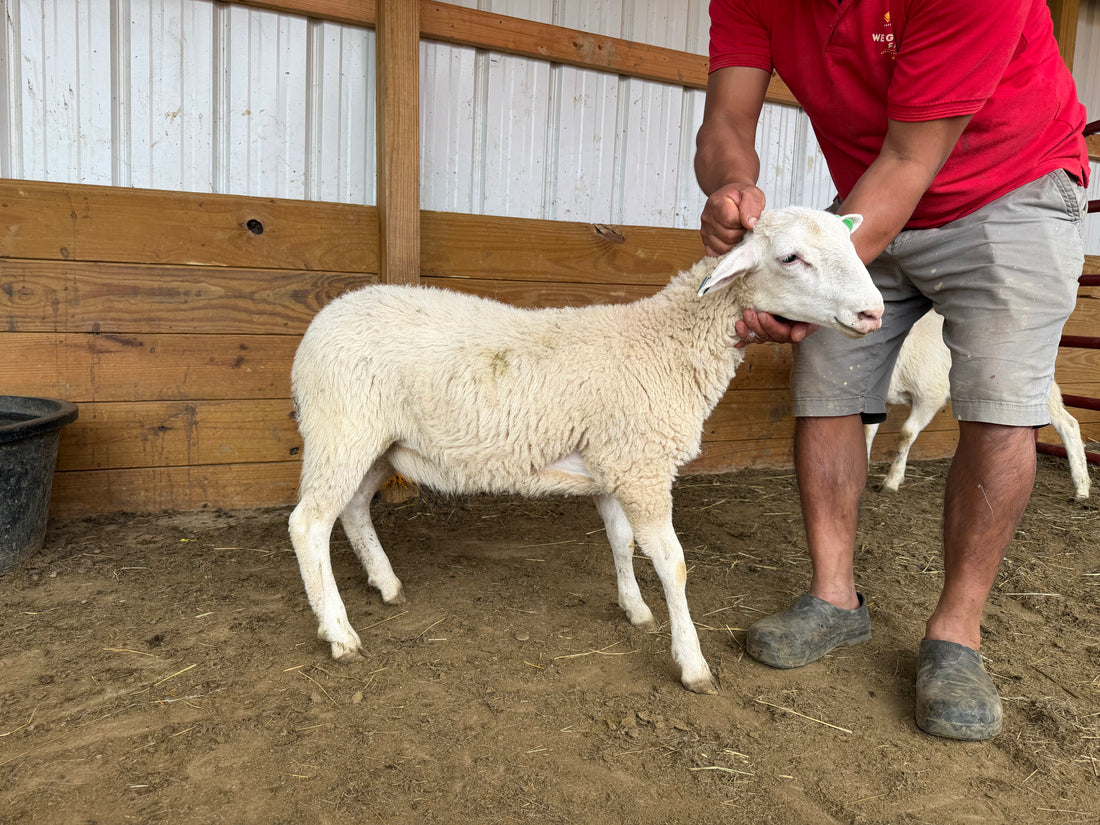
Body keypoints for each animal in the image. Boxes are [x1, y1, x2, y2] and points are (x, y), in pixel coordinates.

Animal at [288, 206, 885, 695]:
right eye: (790, 258)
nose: (873, 313)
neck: (666, 344)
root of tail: (324, 319)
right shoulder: (643, 466)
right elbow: (672, 564)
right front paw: (692, 663)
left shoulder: (616, 466)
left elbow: (622, 542)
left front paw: (635, 609)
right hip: (341, 427)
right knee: (308, 523)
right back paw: (339, 632)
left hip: (379, 444)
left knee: (352, 508)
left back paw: (386, 585)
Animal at [865, 309, 1091, 500]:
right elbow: (867, 431)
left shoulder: (929, 396)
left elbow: (906, 434)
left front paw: (892, 480)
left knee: (1068, 425)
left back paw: (1081, 487)